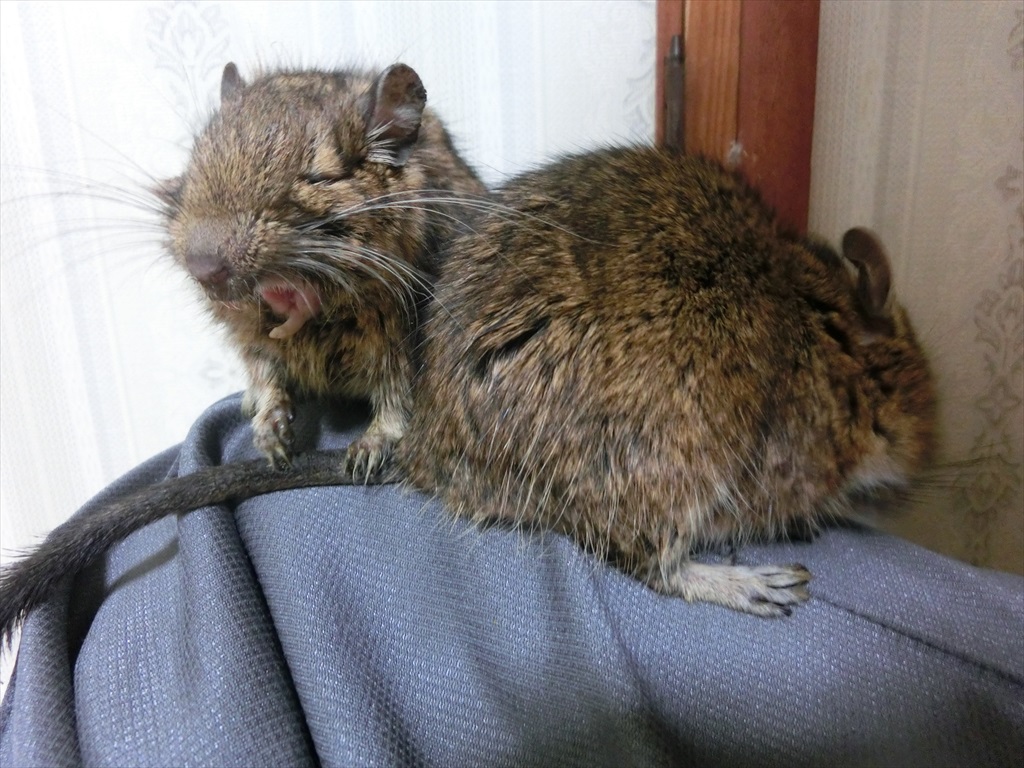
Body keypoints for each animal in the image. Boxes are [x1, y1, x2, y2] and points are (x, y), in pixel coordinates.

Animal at [0, 67, 937, 641]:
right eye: (908, 410)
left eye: (318, 177)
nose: (919, 476)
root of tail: (440, 463)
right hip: (672, 466)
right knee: (643, 561)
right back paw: (753, 584)